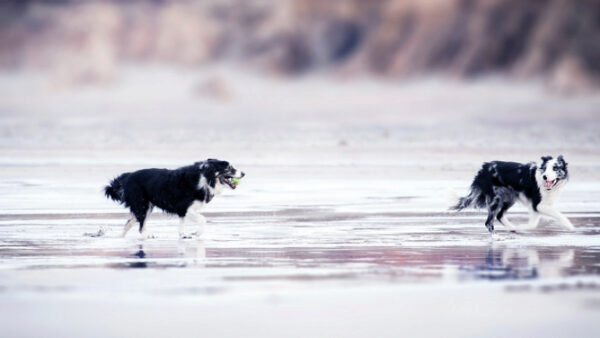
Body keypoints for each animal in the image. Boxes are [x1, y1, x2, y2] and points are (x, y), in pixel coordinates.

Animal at [105, 158, 244, 238]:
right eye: (229, 168)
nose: (243, 173)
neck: (205, 177)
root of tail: (127, 177)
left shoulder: (184, 211)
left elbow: (182, 224)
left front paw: (183, 235)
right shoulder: (185, 207)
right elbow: (202, 219)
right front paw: (197, 233)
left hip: (145, 206)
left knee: (129, 223)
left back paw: (120, 237)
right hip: (142, 204)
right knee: (140, 226)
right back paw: (148, 236)